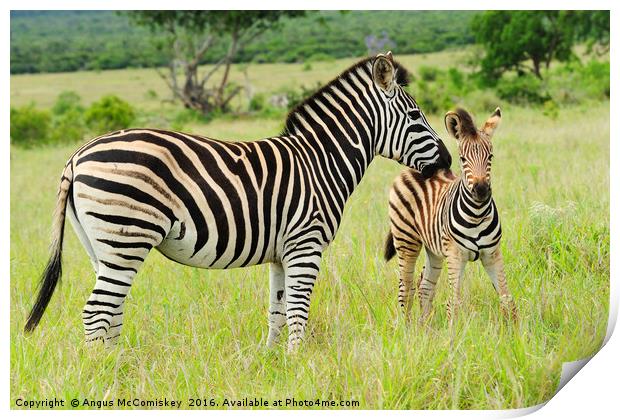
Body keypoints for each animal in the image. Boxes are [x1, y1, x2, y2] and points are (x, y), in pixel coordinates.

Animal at [386, 106, 516, 324]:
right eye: (462, 159)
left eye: (490, 157)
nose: (481, 190)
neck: (477, 215)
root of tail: (412, 168)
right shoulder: (455, 255)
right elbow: (453, 303)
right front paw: (452, 333)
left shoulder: (492, 254)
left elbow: (507, 299)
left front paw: (514, 332)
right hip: (406, 240)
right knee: (405, 289)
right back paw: (407, 329)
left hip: (435, 249)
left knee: (424, 285)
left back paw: (425, 327)